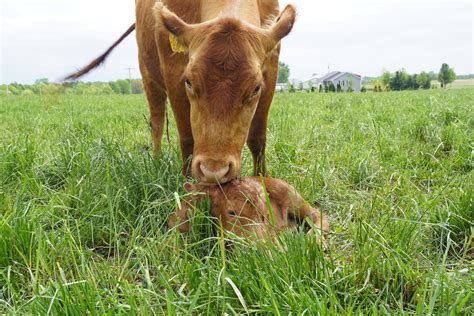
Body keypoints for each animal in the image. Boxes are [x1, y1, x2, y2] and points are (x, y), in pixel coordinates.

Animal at [66, 0, 296, 183]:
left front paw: (262, 183)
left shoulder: (271, 69)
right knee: (157, 122)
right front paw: (187, 185)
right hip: (147, 75)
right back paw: (156, 161)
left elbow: (257, 138)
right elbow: (188, 138)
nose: (214, 171)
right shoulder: (173, 70)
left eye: (256, 87)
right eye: (189, 82)